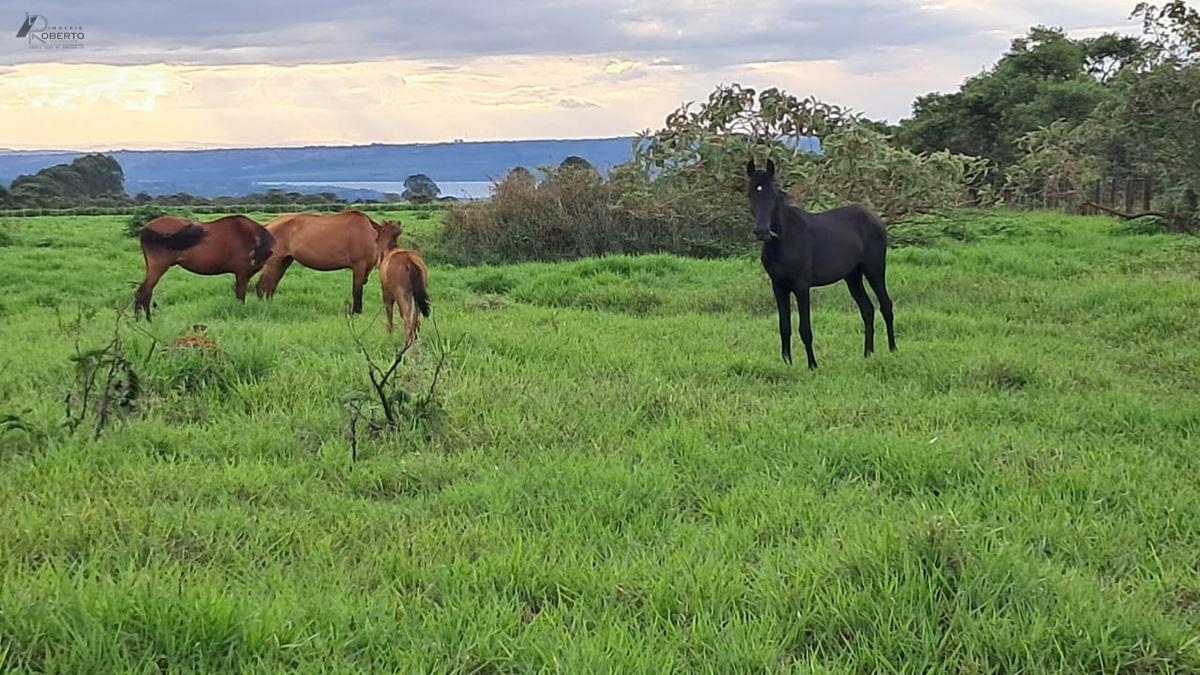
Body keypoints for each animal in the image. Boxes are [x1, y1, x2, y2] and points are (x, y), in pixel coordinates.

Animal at [133, 214, 274, 319]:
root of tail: (145, 229)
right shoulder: (242, 274)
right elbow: (240, 297)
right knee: (144, 291)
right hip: (158, 267)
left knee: (144, 291)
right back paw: (144, 320)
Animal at [253, 208, 403, 312]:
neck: (369, 234)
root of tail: (269, 224)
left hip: (283, 262)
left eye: (396, 235)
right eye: (381, 236)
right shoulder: (359, 266)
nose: (386, 252)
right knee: (262, 286)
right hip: (274, 262)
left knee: (270, 286)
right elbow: (357, 289)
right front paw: (356, 311)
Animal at [744, 157, 897, 367]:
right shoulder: (778, 287)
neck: (785, 239)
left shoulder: (801, 286)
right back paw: (868, 353)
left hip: (874, 269)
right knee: (867, 309)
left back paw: (892, 350)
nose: (761, 231)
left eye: (773, 194)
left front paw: (812, 365)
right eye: (750, 194)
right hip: (853, 276)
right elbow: (784, 327)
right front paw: (787, 363)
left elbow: (805, 329)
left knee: (886, 306)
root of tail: (874, 218)